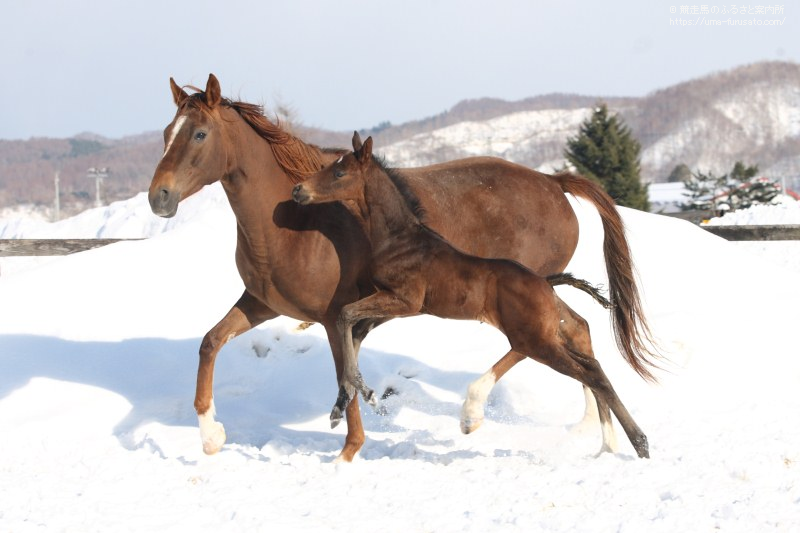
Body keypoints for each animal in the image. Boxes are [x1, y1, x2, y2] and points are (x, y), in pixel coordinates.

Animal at [150, 72, 656, 460]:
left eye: (199, 134)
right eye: (166, 133)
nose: (160, 197)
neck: (294, 225)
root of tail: (554, 181)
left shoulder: (332, 315)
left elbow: (346, 370)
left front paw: (349, 449)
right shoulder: (262, 304)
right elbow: (210, 342)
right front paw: (211, 437)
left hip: (525, 298)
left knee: (537, 346)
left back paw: (477, 412)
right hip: (543, 293)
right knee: (579, 332)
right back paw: (602, 437)